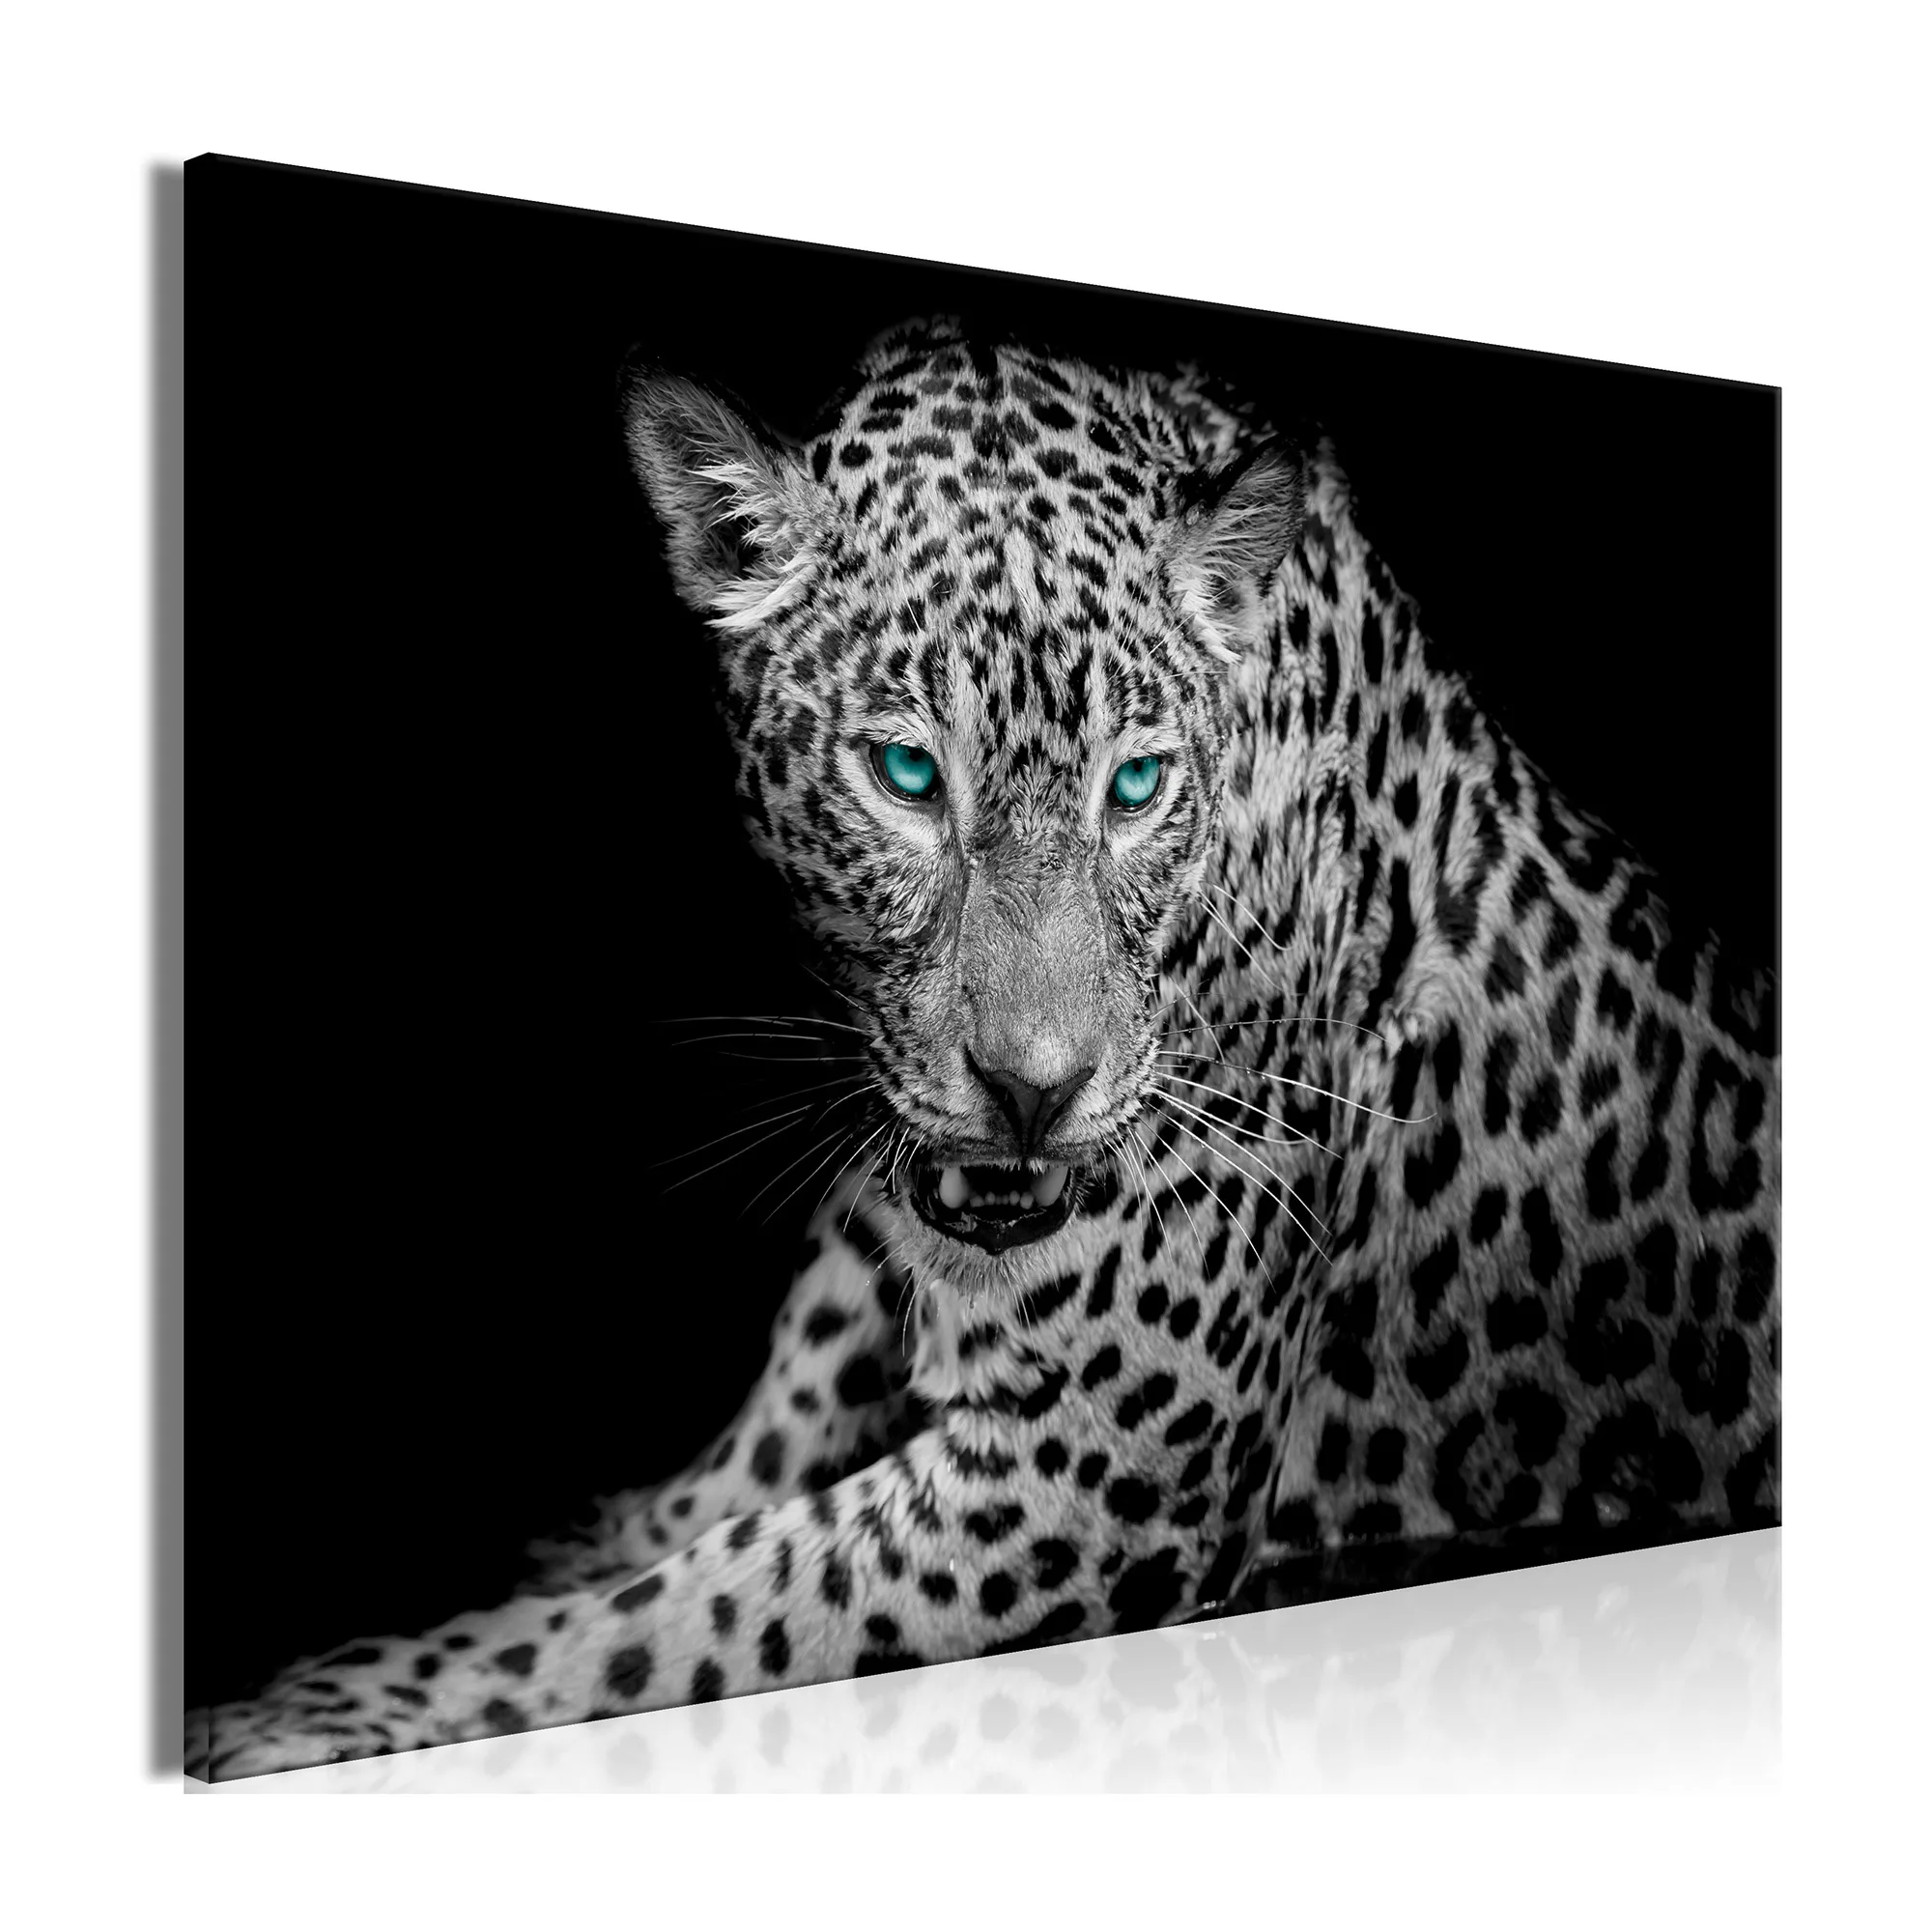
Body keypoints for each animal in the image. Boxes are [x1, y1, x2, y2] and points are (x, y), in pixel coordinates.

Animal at [187, 317, 1779, 1781]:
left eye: (1136, 787)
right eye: (906, 774)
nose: (1032, 1091)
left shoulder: (1088, 1477)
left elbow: (667, 1621)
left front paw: (322, 1704)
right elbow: (717, 1490)